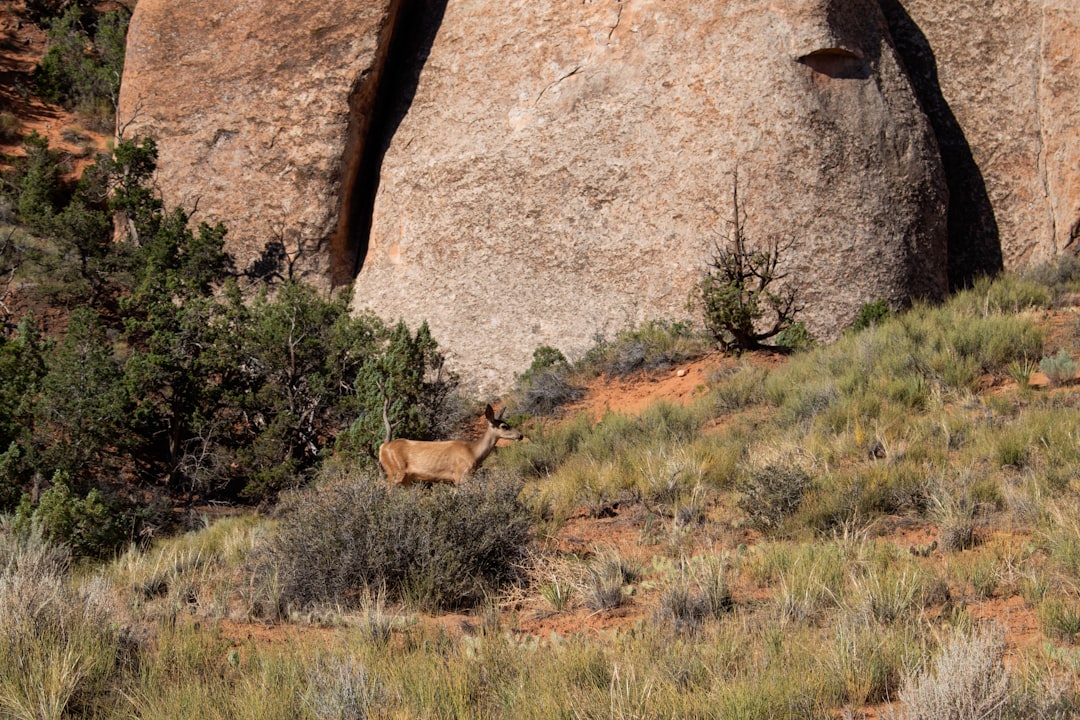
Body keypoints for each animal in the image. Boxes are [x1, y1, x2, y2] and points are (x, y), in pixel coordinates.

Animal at [380, 403, 522, 487]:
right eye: (504, 426)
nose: (520, 435)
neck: (473, 452)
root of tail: (382, 447)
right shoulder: (461, 475)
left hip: (406, 479)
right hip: (394, 472)